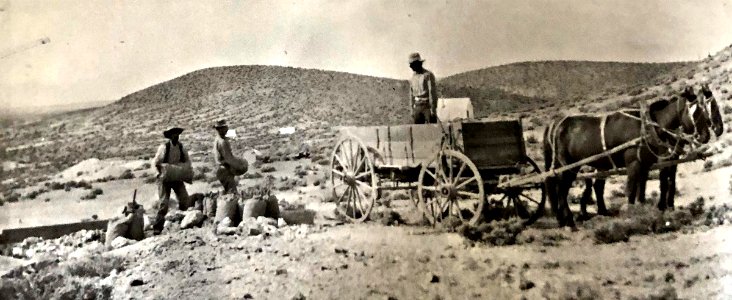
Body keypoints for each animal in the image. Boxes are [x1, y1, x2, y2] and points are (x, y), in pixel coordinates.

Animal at [540, 86, 712, 227]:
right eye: (695, 112)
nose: (706, 136)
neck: (647, 127)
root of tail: (555, 124)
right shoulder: (634, 164)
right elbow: (630, 191)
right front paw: (631, 216)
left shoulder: (645, 166)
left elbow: (641, 192)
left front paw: (644, 211)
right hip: (568, 166)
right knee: (561, 189)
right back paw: (568, 220)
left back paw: (567, 217)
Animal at [580, 82, 724, 213]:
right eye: (697, 111)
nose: (718, 130)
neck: (657, 127)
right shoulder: (661, 160)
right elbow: (662, 183)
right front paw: (661, 207)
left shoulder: (671, 159)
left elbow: (669, 182)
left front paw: (669, 206)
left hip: (601, 166)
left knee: (597, 186)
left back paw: (601, 211)